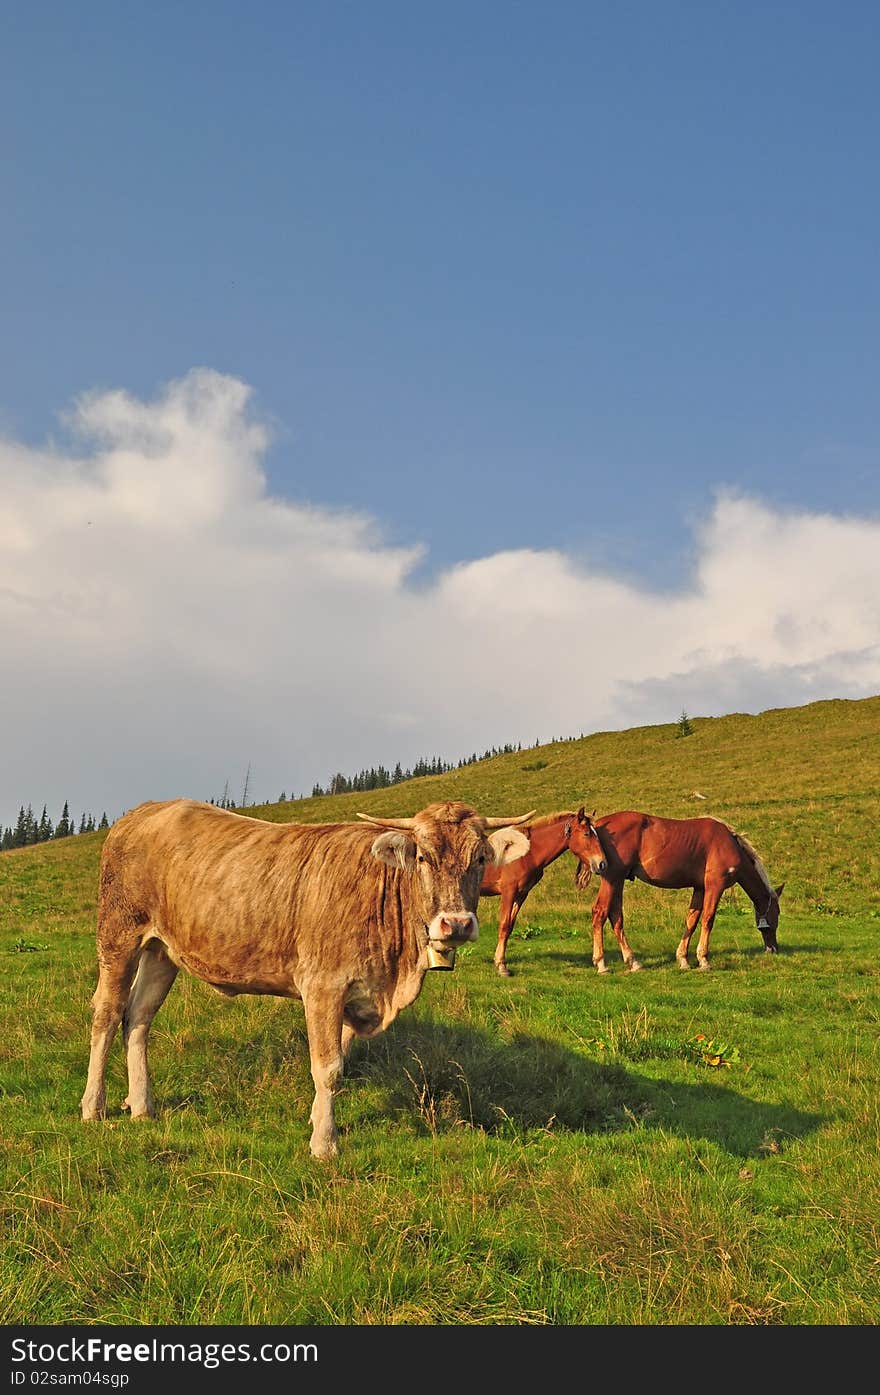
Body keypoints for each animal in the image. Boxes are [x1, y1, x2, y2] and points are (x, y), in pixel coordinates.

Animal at [82, 803, 532, 1160]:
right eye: (422, 856)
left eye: (480, 858)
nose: (455, 923)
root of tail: (144, 811)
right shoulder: (322, 986)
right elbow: (327, 1068)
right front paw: (325, 1145)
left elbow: (337, 1062)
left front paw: (319, 1125)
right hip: (118, 933)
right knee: (107, 1013)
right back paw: (93, 1106)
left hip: (162, 951)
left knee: (138, 1017)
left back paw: (142, 1104)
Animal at [482, 809, 613, 982]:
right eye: (586, 834)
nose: (602, 864)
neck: (527, 853)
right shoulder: (508, 892)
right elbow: (503, 926)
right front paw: (501, 966)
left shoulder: (521, 894)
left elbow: (509, 926)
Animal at [574, 814, 786, 976]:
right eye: (777, 914)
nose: (773, 949)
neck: (728, 843)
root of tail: (598, 825)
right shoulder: (715, 886)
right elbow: (708, 919)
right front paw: (703, 960)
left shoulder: (700, 888)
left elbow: (691, 921)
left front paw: (683, 959)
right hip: (612, 879)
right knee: (599, 912)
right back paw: (601, 963)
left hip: (617, 881)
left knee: (615, 915)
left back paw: (632, 961)